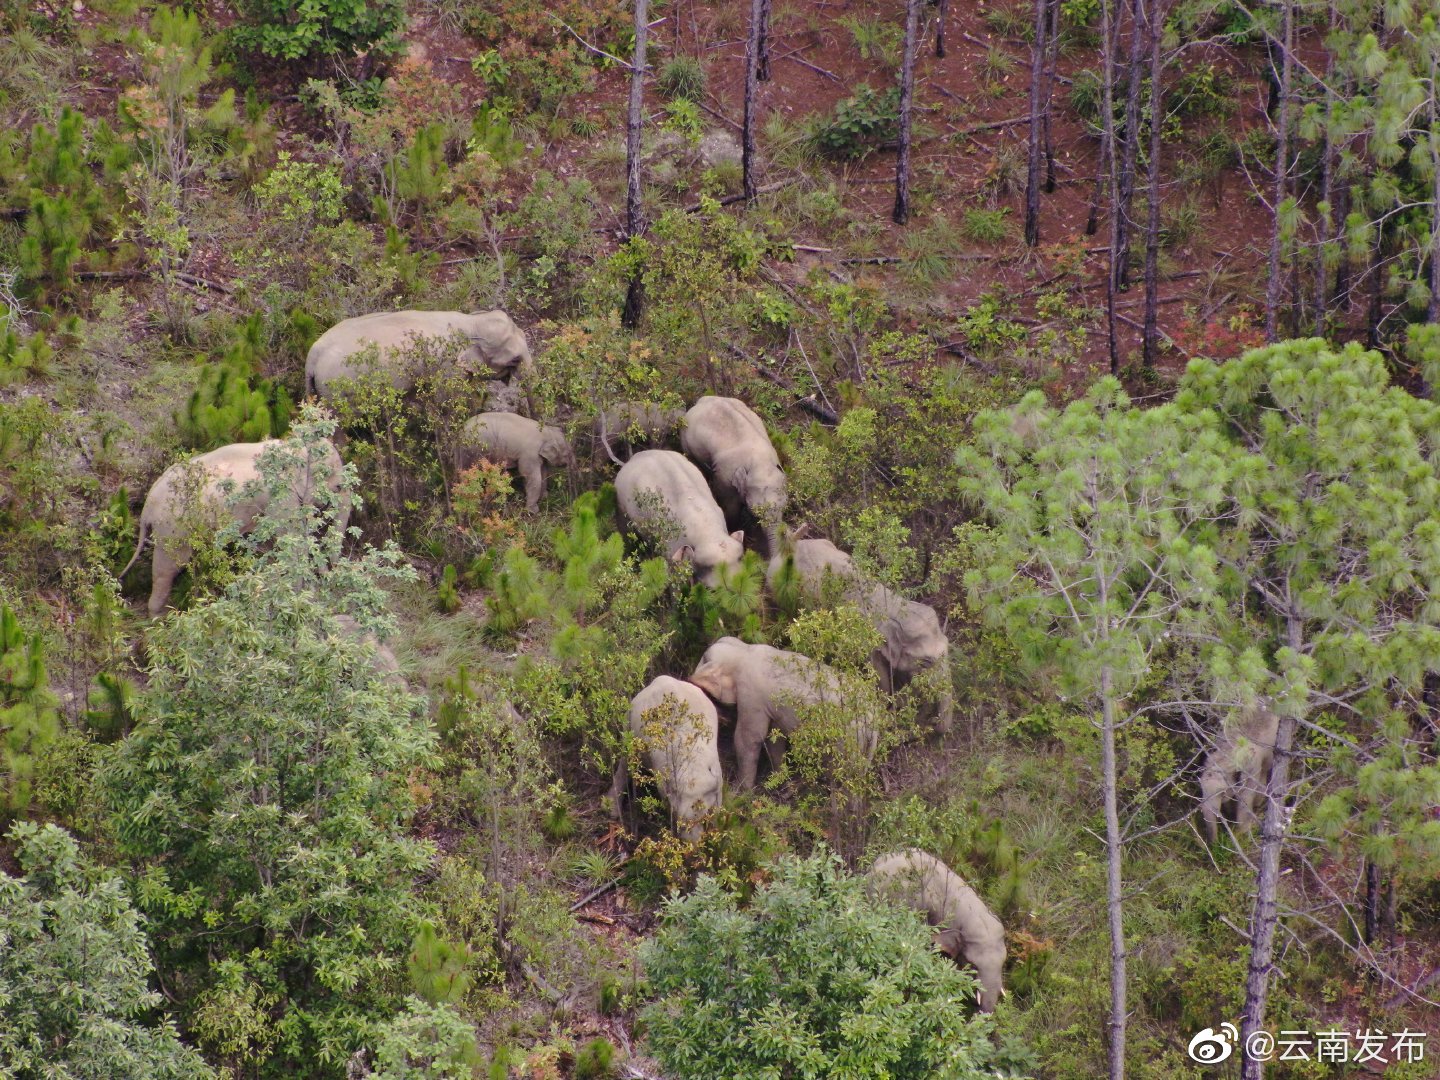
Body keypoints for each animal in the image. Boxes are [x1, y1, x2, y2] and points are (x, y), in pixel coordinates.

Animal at [119, 439, 349, 617]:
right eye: (336, 484)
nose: (331, 574)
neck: (294, 445)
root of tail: (146, 508)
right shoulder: (281, 496)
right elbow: (290, 537)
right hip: (173, 527)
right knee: (168, 568)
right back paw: (160, 619)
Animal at [610, 675, 723, 841]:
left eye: (703, 818)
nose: (693, 845)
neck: (692, 764)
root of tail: (660, 678)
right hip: (629, 722)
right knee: (625, 761)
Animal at [680, 396, 787, 553]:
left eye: (784, 508)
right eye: (755, 512)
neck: (760, 462)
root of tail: (703, 399)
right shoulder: (725, 477)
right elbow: (730, 507)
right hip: (686, 439)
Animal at [688, 636, 878, 790]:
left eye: (703, 660)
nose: (688, 679)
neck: (745, 650)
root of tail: (873, 716)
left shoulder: (751, 696)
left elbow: (749, 738)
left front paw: (741, 791)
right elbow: (773, 738)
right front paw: (779, 778)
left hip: (850, 738)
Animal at [1199, 707, 1280, 844]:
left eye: (1221, 793)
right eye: (1202, 791)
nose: (1214, 845)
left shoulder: (1252, 768)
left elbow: (1245, 797)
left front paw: (1241, 834)